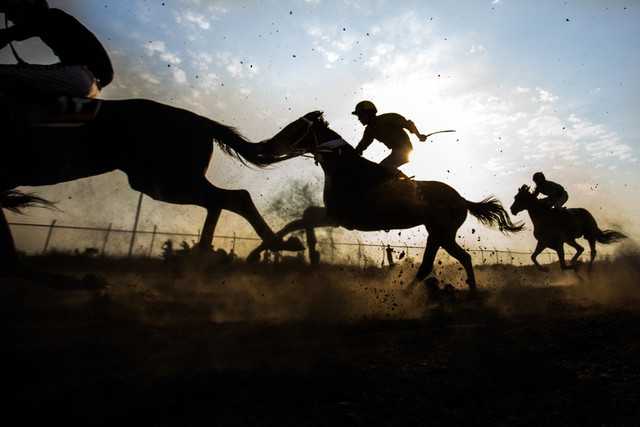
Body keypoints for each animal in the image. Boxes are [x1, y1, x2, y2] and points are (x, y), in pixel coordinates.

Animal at [0, 98, 302, 282]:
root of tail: (199, 119)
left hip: (168, 177)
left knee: (234, 197)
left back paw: (273, 244)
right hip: (162, 181)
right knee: (221, 200)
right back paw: (207, 253)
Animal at [246, 111, 524, 294]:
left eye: (295, 127)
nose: (267, 146)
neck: (346, 169)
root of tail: (462, 199)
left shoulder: (340, 216)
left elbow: (302, 219)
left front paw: (299, 250)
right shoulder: (333, 214)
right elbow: (297, 221)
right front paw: (262, 251)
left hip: (442, 232)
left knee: (445, 262)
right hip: (438, 233)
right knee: (446, 262)